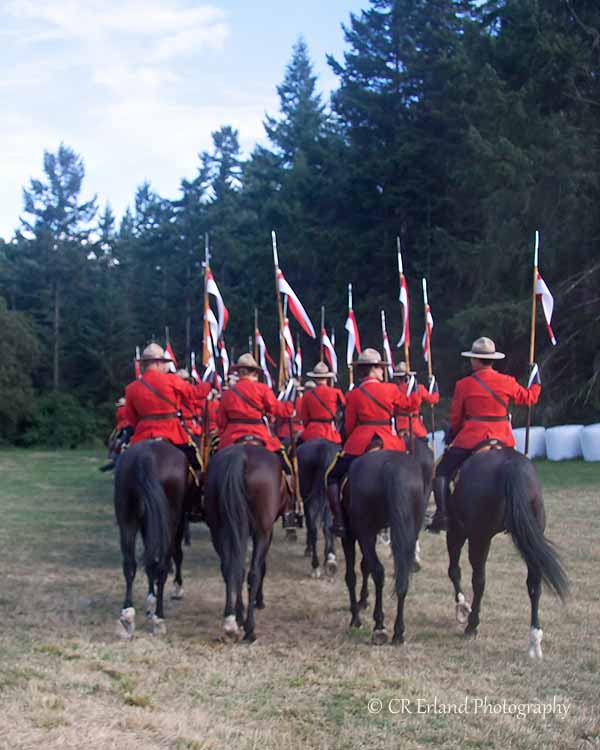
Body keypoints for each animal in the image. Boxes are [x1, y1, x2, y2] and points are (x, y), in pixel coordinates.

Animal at [113, 440, 191, 640]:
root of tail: (146, 455)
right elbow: (175, 556)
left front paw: (150, 600)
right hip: (170, 521)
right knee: (162, 565)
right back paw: (159, 619)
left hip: (127, 517)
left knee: (130, 564)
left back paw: (127, 615)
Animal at [205, 446, 290, 648]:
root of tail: (240, 455)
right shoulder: (266, 531)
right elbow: (260, 568)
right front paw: (258, 601)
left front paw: (238, 615)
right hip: (261, 531)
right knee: (253, 573)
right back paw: (250, 629)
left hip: (218, 530)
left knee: (229, 569)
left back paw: (230, 622)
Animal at [342, 450, 426, 648]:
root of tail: (393, 466)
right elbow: (364, 566)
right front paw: (363, 600)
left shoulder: (350, 535)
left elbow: (351, 576)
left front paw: (356, 616)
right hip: (409, 531)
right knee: (401, 576)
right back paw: (398, 632)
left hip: (364, 531)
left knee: (378, 572)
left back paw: (379, 626)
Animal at [448, 446, 568, 656]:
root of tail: (512, 464)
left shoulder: (456, 530)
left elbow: (454, 571)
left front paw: (462, 608)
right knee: (534, 585)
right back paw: (534, 639)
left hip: (479, 537)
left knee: (479, 580)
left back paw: (472, 626)